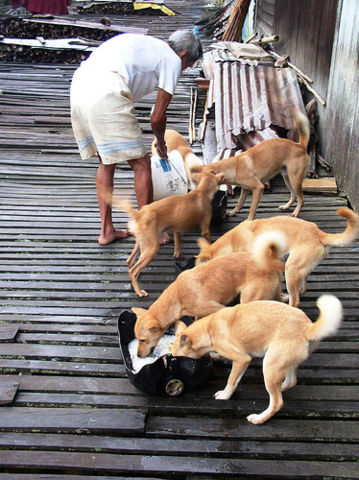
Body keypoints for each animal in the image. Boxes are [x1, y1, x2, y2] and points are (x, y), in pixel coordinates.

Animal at [131, 231, 286, 358]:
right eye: (137, 339)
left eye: (142, 340)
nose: (138, 355)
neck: (178, 297)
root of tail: (272, 262)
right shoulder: (199, 314)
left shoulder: (220, 308)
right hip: (272, 295)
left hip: (248, 300)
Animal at [173, 296, 344, 424]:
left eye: (175, 357)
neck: (208, 329)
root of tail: (307, 328)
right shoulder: (242, 361)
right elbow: (234, 378)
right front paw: (216, 356)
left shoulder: (242, 359)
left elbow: (231, 380)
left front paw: (225, 395)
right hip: (284, 364)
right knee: (290, 382)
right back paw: (281, 387)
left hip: (269, 365)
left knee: (277, 403)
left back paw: (259, 418)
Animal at [197, 207, 359, 308]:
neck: (231, 241)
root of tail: (320, 234)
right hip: (294, 267)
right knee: (302, 287)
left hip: (290, 269)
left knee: (295, 301)